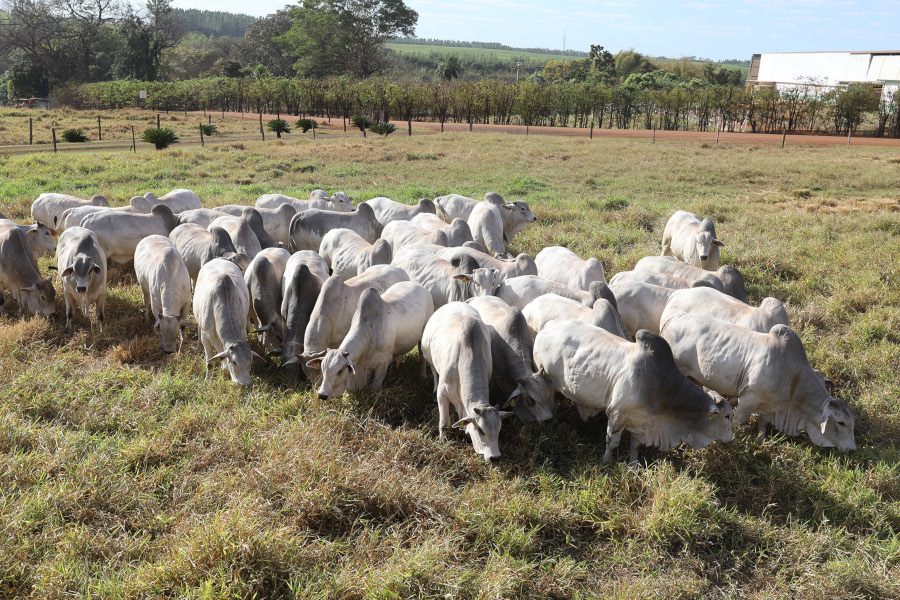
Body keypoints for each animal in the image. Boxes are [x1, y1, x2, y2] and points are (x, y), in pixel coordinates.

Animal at [191, 256, 258, 384]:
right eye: (234, 362)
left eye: (250, 361)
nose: (244, 384)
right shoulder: (206, 338)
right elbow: (210, 363)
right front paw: (207, 381)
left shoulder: (243, 334)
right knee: (199, 329)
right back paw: (197, 348)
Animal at [422, 302, 512, 462]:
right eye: (481, 430)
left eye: (499, 429)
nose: (495, 457)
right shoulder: (442, 394)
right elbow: (444, 424)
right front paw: (442, 441)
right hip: (428, 354)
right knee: (433, 370)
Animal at [532, 324, 736, 464]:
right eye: (727, 416)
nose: (731, 438)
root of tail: (547, 328)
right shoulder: (617, 414)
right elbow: (611, 442)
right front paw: (606, 462)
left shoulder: (641, 422)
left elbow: (635, 446)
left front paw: (633, 465)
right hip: (547, 381)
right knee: (551, 401)